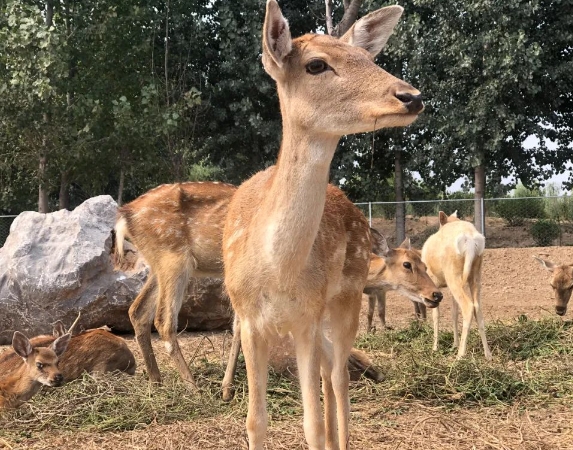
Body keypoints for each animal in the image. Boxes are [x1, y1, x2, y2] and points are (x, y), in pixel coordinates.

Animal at [221, 1, 422, 448]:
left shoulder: (306, 318)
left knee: (340, 381)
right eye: (316, 65)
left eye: (368, 58)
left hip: (346, 298)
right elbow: (254, 420)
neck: (276, 271)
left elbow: (310, 422)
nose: (411, 96)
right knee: (333, 377)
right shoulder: (249, 320)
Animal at [420, 209, 492, 360]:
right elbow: (454, 313)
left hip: (453, 274)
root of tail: (470, 240)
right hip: (475, 274)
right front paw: (454, 344)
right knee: (477, 307)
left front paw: (435, 348)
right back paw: (488, 354)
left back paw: (460, 355)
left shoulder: (434, 285)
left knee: (468, 307)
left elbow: (436, 314)